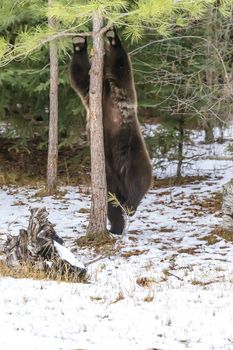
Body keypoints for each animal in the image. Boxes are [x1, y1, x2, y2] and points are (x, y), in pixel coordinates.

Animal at [70, 28, 152, 235]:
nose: (95, 54)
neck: (104, 90)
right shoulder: (89, 91)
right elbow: (79, 74)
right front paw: (79, 42)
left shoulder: (118, 87)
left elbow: (121, 64)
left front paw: (112, 37)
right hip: (108, 175)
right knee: (110, 202)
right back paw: (116, 226)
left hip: (132, 152)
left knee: (138, 180)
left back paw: (131, 206)